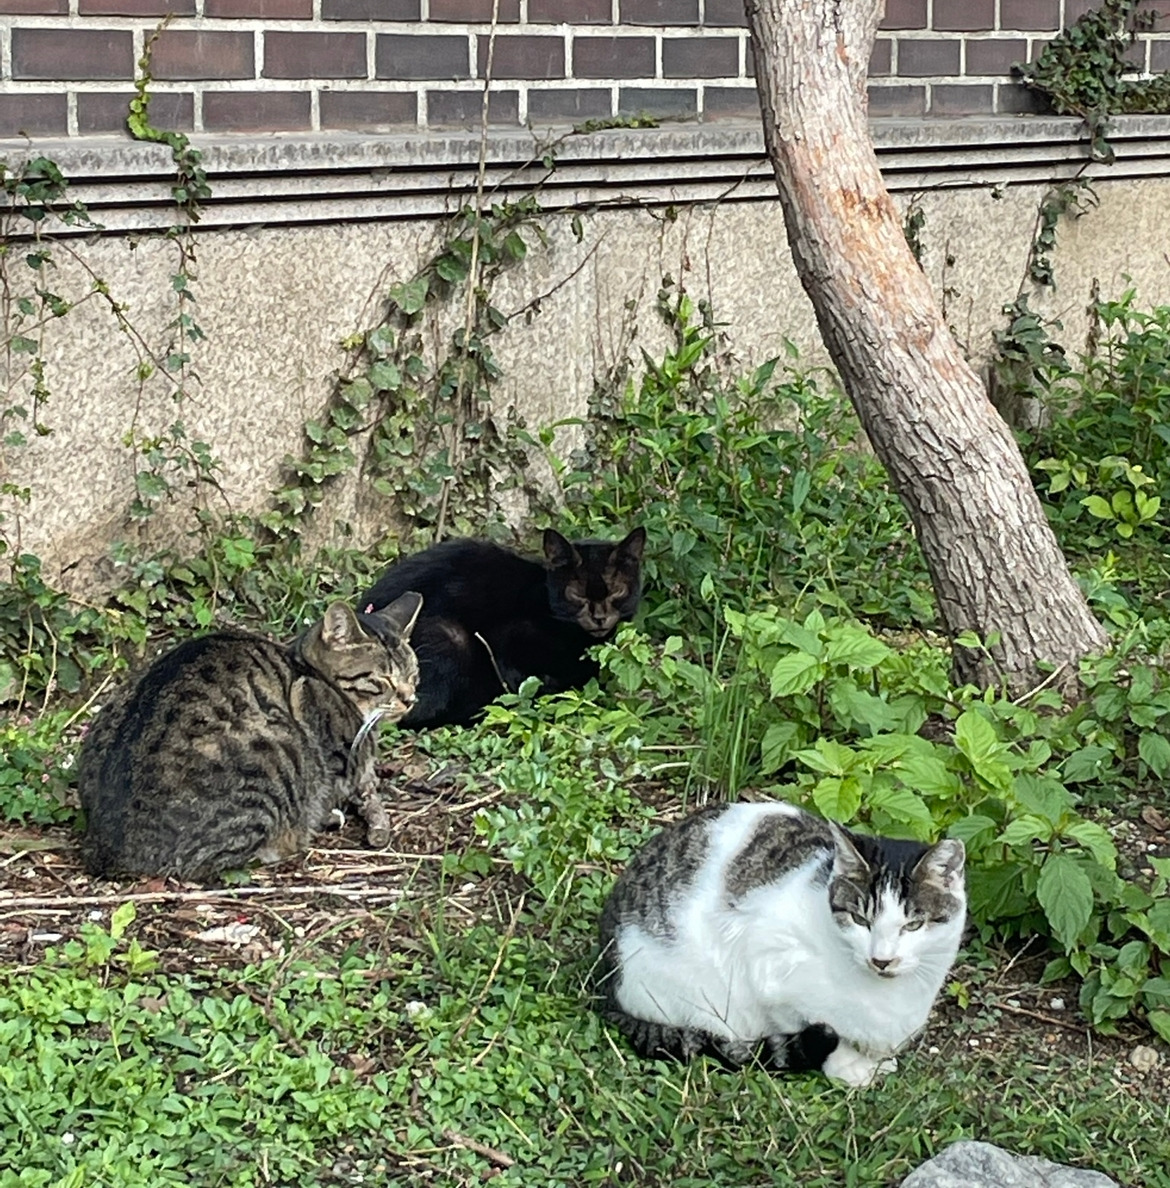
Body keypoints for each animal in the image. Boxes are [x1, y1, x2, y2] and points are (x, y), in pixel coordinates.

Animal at [79, 595, 422, 882]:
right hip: (275, 752)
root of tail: (112, 851)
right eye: (383, 678)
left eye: (414, 674)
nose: (410, 699)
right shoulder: (334, 763)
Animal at [596, 800, 966, 1087]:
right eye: (861, 920)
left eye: (913, 925)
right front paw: (848, 1065)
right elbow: (818, 1029)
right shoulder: (767, 969)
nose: (882, 960)